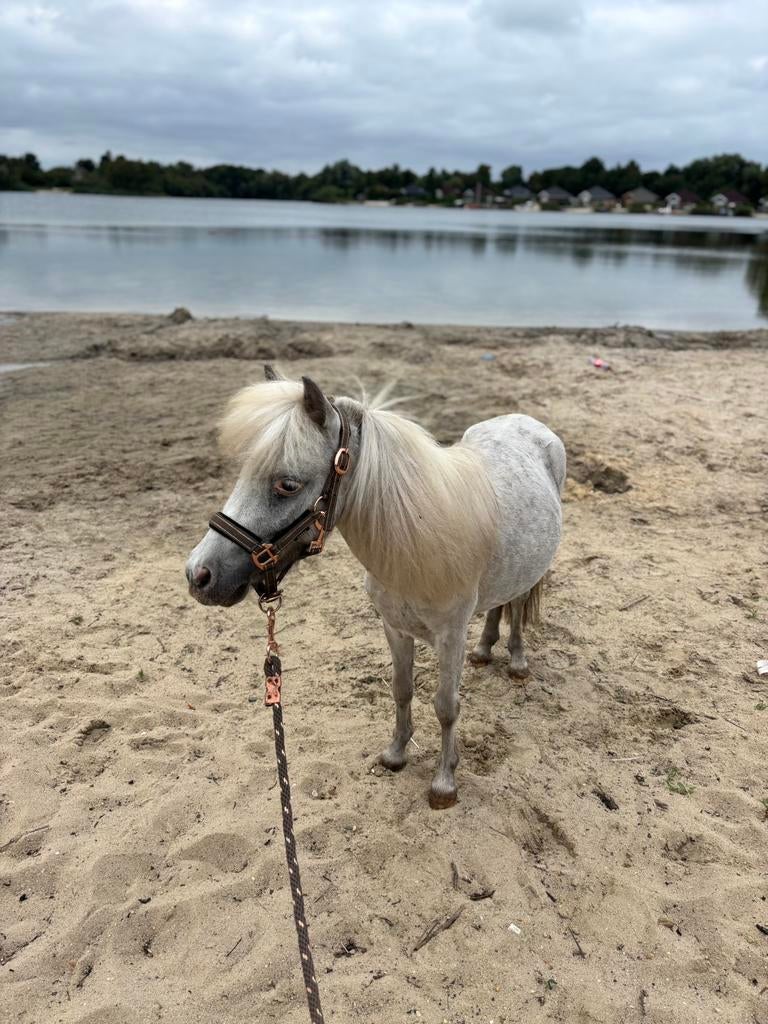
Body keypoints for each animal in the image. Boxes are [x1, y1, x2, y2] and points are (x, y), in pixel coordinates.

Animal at [186, 368, 565, 809]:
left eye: (287, 485)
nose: (199, 574)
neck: (416, 539)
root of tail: (527, 422)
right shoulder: (395, 628)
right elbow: (401, 690)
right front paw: (396, 754)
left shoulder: (450, 636)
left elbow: (446, 707)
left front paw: (444, 783)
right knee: (498, 605)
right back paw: (485, 649)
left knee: (518, 604)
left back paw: (518, 660)